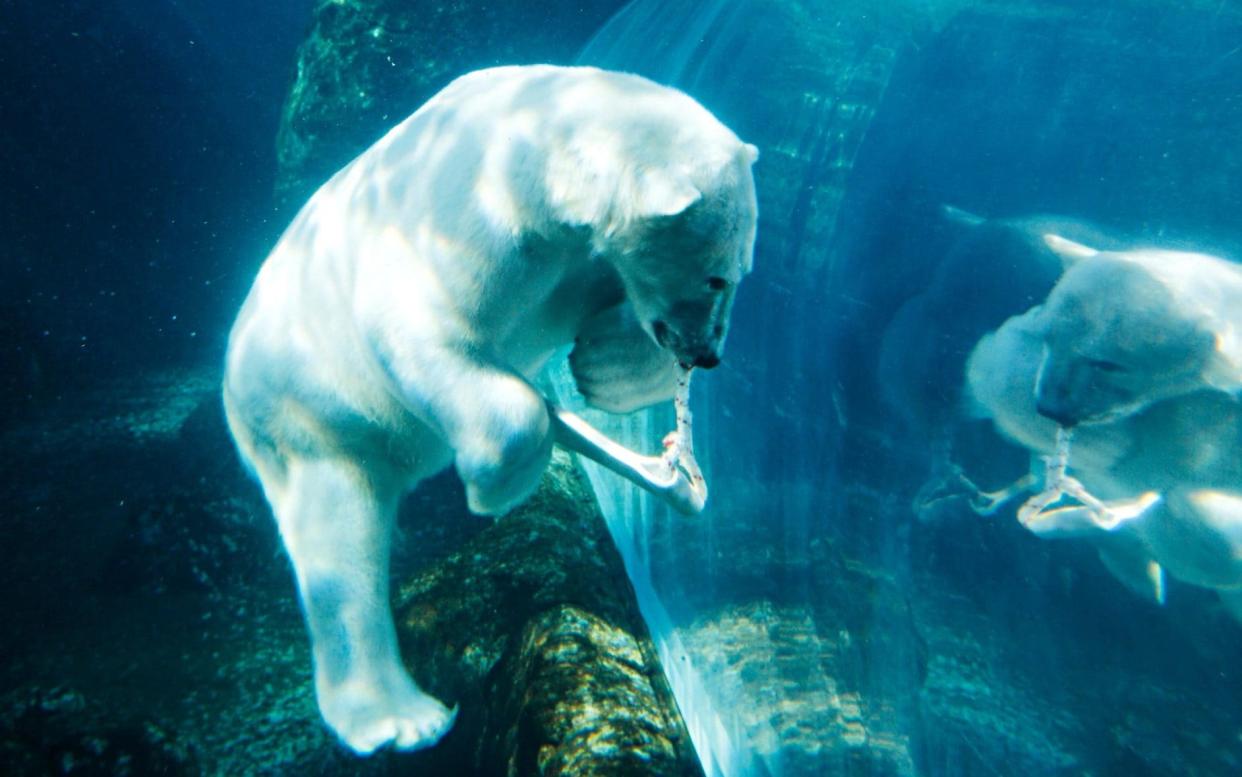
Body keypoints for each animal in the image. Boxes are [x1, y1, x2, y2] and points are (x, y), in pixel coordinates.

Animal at [226, 65, 755, 749]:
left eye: (742, 269)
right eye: (718, 275)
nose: (709, 354)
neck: (541, 153)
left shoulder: (581, 262)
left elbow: (616, 325)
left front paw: (605, 366)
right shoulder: (471, 229)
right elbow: (421, 331)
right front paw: (489, 488)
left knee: (563, 421)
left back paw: (676, 478)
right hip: (312, 421)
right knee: (339, 538)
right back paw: (398, 718)